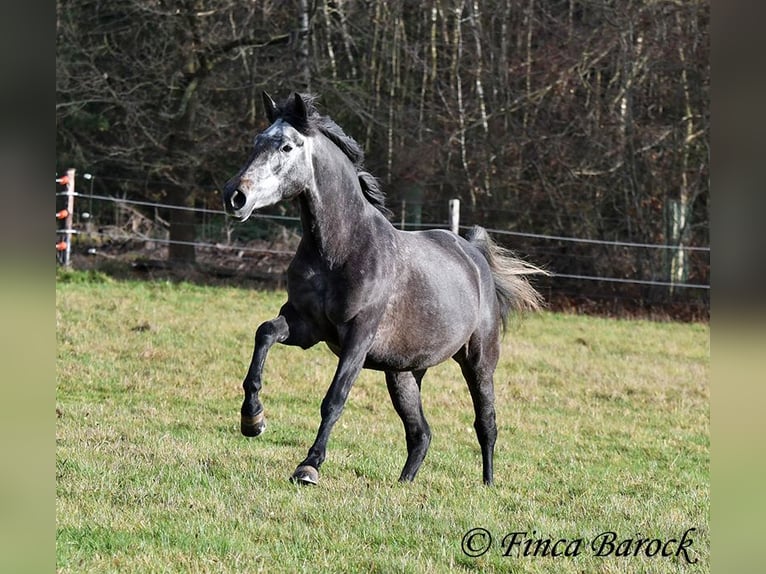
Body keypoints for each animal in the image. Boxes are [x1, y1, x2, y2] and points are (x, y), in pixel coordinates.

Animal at [222, 93, 544, 486]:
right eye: (257, 141)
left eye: (286, 146)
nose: (235, 196)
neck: (341, 248)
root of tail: (473, 254)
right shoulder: (305, 326)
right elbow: (264, 333)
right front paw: (253, 420)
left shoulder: (358, 336)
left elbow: (335, 398)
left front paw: (309, 466)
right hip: (404, 373)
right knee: (420, 433)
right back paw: (404, 484)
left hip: (479, 361)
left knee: (486, 424)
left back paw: (487, 484)